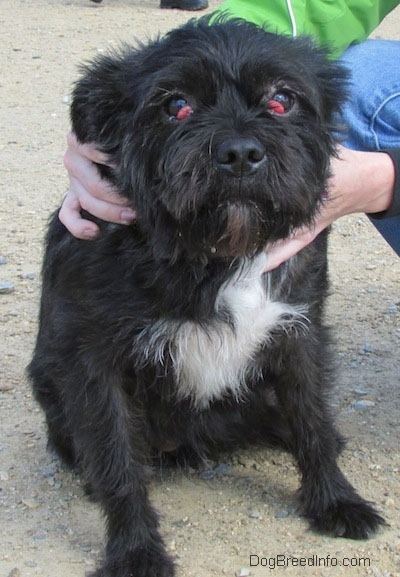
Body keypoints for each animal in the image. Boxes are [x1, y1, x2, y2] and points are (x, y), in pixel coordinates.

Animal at [28, 16, 384, 576]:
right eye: (176, 105)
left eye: (281, 99)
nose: (239, 154)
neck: (216, 257)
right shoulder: (94, 367)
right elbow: (118, 465)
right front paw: (135, 551)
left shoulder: (300, 335)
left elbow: (312, 420)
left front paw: (335, 500)